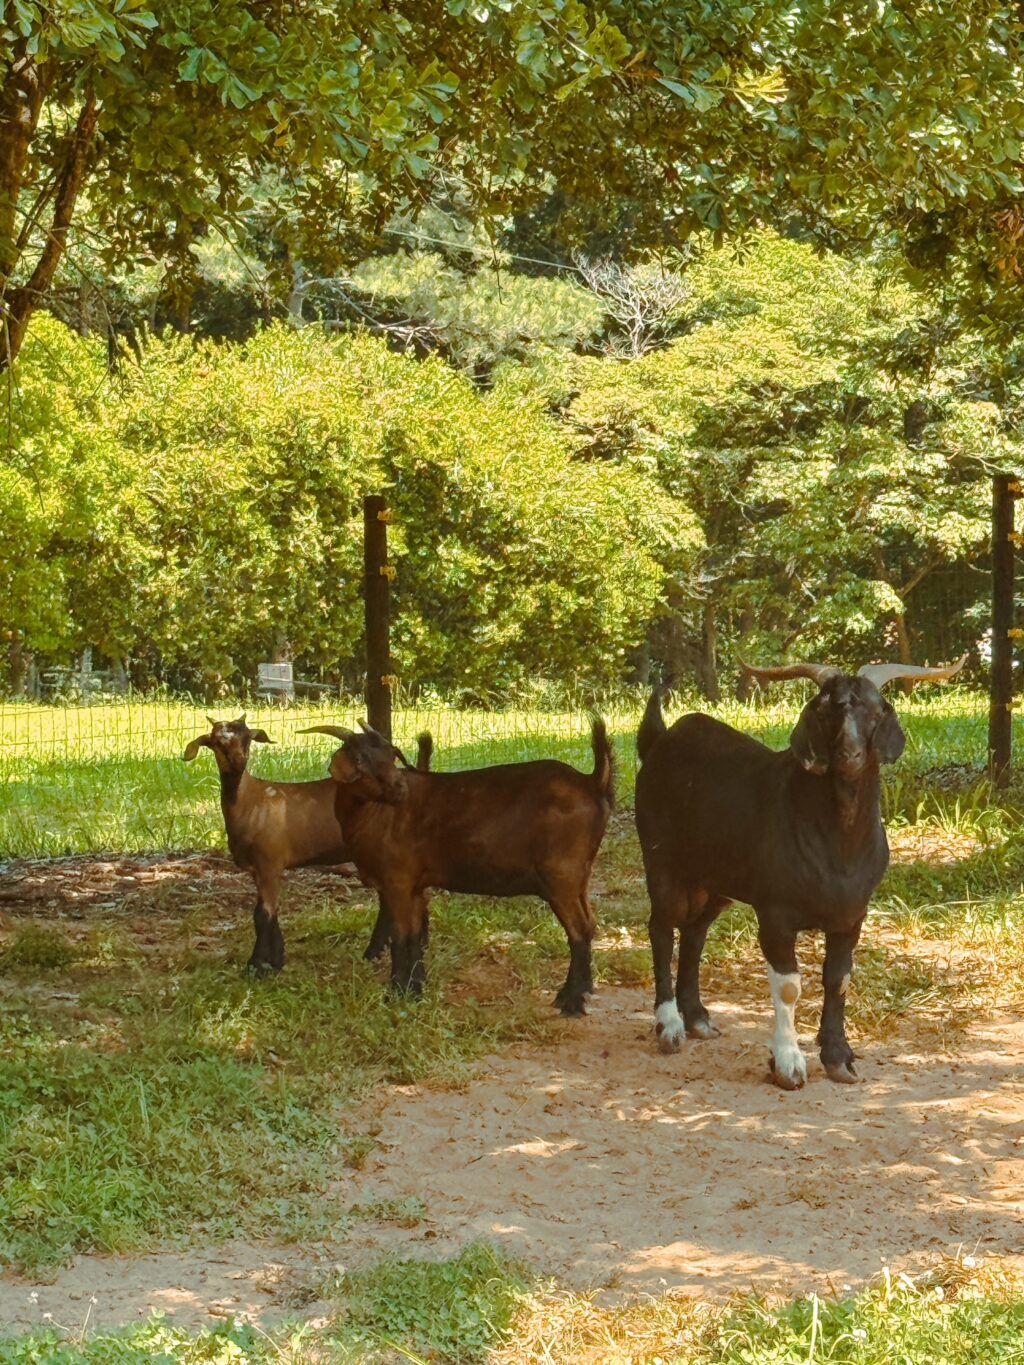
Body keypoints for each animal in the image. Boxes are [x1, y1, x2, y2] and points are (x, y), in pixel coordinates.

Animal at [183, 715, 432, 971]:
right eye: (216, 742)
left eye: (248, 738)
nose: (238, 762)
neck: (250, 800)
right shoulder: (258, 869)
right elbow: (271, 912)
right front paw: (276, 959)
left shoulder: (269, 862)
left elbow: (263, 914)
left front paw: (257, 966)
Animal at [302, 719, 615, 1015]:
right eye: (360, 759)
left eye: (391, 755)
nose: (399, 789)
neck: (373, 814)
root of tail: (592, 783)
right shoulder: (414, 886)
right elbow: (415, 935)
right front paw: (416, 988)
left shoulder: (397, 882)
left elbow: (401, 937)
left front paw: (396, 992)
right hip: (580, 877)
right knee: (590, 924)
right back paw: (586, 989)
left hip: (560, 876)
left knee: (579, 930)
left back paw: (570, 1001)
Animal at [634, 656, 966, 1088]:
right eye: (825, 709)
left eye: (877, 710)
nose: (849, 754)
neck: (837, 849)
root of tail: (658, 741)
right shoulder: (776, 914)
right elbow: (790, 986)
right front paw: (787, 1063)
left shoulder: (851, 917)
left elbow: (839, 978)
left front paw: (839, 1058)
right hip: (663, 863)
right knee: (662, 929)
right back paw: (670, 1026)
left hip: (713, 880)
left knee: (695, 932)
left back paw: (698, 1019)